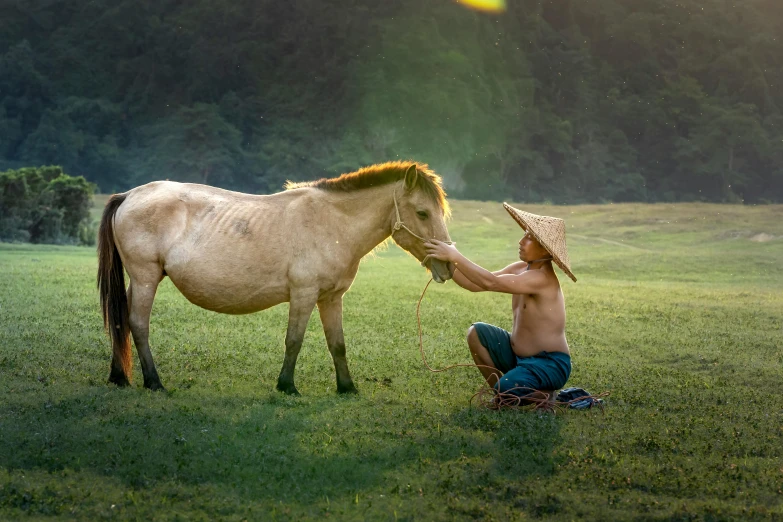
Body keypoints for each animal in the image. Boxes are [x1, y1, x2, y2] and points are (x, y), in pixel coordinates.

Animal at [98, 160, 454, 392]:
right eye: (422, 213)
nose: (448, 266)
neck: (332, 224)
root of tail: (128, 195)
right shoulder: (304, 294)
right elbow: (294, 340)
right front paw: (286, 386)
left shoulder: (331, 298)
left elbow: (337, 344)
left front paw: (347, 387)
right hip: (145, 278)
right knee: (138, 324)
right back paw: (153, 382)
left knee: (120, 322)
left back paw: (119, 377)